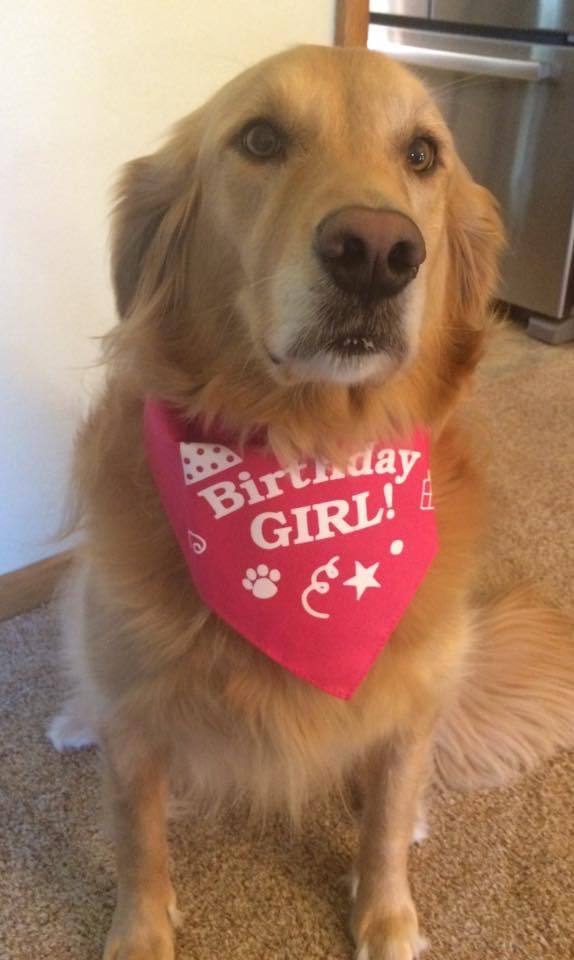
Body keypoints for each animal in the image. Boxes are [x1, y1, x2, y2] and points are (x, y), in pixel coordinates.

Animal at [50, 45, 574, 960]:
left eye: (422, 154)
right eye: (260, 139)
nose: (377, 250)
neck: (311, 457)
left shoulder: (409, 696)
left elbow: (388, 814)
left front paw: (387, 917)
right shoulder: (136, 716)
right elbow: (136, 834)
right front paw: (139, 932)